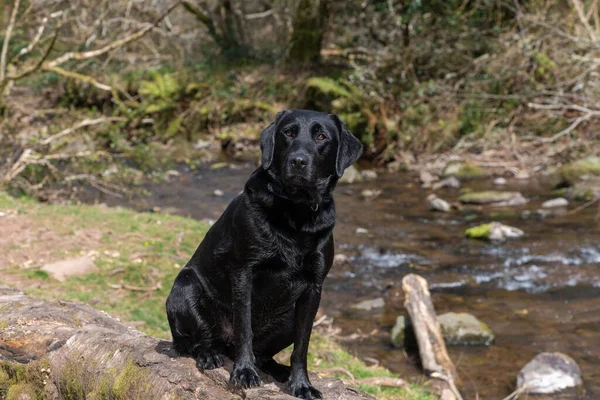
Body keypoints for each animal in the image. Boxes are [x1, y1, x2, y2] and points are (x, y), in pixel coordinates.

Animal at [164, 108, 360, 398]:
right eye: (288, 133)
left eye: (321, 137)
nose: (298, 161)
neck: (296, 212)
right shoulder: (245, 273)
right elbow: (244, 329)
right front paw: (243, 372)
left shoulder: (314, 288)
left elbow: (302, 346)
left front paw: (301, 384)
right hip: (184, 287)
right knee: (196, 340)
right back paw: (209, 353)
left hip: (288, 316)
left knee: (263, 354)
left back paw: (278, 370)